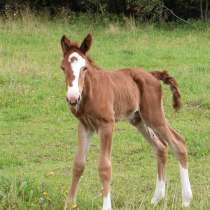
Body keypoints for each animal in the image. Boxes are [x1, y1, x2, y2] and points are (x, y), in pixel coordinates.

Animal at [60, 33, 193, 209]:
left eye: (84, 68)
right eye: (63, 68)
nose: (73, 98)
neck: (91, 91)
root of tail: (152, 74)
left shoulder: (107, 124)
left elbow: (105, 167)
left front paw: (106, 206)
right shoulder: (84, 126)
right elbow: (78, 164)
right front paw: (69, 204)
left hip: (154, 115)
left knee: (178, 143)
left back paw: (186, 199)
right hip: (139, 120)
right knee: (161, 147)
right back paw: (156, 198)